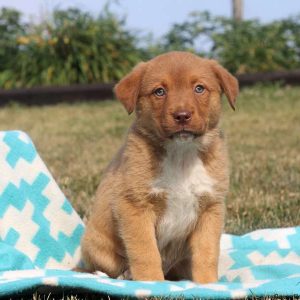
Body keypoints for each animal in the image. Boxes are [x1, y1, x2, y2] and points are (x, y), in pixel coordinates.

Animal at [80, 51, 239, 284]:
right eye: (159, 91)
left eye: (199, 88)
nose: (182, 115)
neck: (181, 153)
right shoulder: (134, 206)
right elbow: (146, 252)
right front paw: (152, 283)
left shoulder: (210, 207)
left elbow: (207, 254)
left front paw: (209, 284)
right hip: (97, 245)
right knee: (102, 268)